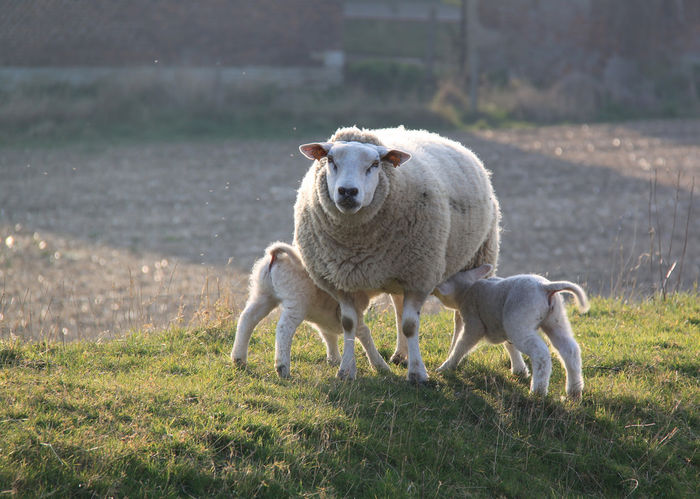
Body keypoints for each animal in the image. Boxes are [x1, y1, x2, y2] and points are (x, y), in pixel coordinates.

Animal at [231, 242, 392, 378]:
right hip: (296, 300)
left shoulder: (326, 316)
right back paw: (282, 368)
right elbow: (364, 334)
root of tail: (276, 257)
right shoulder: (352, 311)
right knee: (284, 329)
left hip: (263, 293)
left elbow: (328, 335)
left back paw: (239, 359)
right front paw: (380, 366)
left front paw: (334, 359)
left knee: (247, 319)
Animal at [292, 126, 500, 382]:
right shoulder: (342, 283)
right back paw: (400, 355)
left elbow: (411, 325)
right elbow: (350, 323)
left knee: (459, 317)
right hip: (399, 275)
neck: (356, 245)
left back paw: (452, 359)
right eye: (330, 160)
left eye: (374, 164)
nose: (348, 192)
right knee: (399, 309)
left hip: (479, 258)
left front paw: (418, 374)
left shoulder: (420, 277)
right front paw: (346, 371)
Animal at [434, 264, 588, 400]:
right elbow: (510, 345)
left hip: (520, 322)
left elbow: (462, 345)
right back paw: (574, 391)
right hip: (555, 320)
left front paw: (446, 366)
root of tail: (545, 287)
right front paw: (519, 370)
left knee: (541, 354)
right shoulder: (503, 325)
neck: (467, 290)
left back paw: (538, 392)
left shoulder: (474, 323)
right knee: (570, 350)